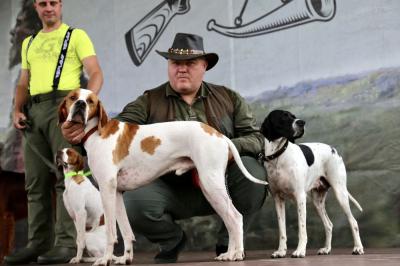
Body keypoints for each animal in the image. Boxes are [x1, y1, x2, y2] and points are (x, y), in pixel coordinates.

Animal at [57, 89, 268, 264]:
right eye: (73, 97)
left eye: (90, 101)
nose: (80, 104)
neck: (97, 132)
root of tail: (218, 134)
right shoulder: (116, 193)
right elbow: (126, 231)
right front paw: (125, 258)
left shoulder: (106, 189)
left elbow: (111, 233)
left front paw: (105, 259)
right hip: (212, 190)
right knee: (229, 220)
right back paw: (228, 253)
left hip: (212, 184)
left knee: (236, 217)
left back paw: (237, 254)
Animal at [258, 109, 364, 258]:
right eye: (283, 117)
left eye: (294, 116)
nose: (302, 122)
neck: (279, 156)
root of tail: (334, 150)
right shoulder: (278, 200)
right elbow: (282, 230)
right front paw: (281, 251)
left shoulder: (300, 197)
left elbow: (302, 229)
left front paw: (300, 250)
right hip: (317, 201)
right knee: (329, 225)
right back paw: (326, 249)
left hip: (340, 193)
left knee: (353, 222)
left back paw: (358, 248)